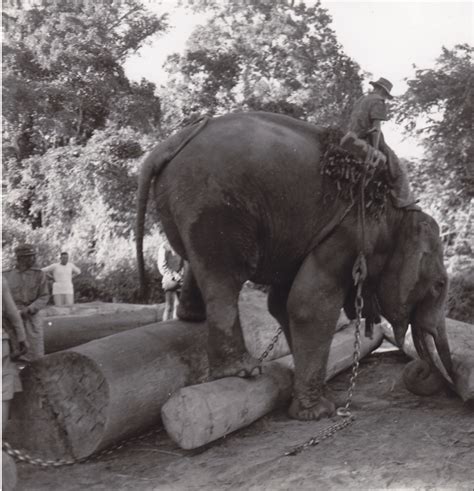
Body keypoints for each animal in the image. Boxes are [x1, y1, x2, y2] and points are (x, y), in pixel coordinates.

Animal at [136, 112, 452, 422]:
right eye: (439, 286)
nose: (422, 372)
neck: (398, 210)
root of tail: (165, 146)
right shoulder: (348, 233)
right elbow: (307, 305)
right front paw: (318, 412)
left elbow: (281, 303)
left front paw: (321, 399)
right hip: (212, 204)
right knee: (224, 278)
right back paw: (243, 370)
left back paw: (191, 316)